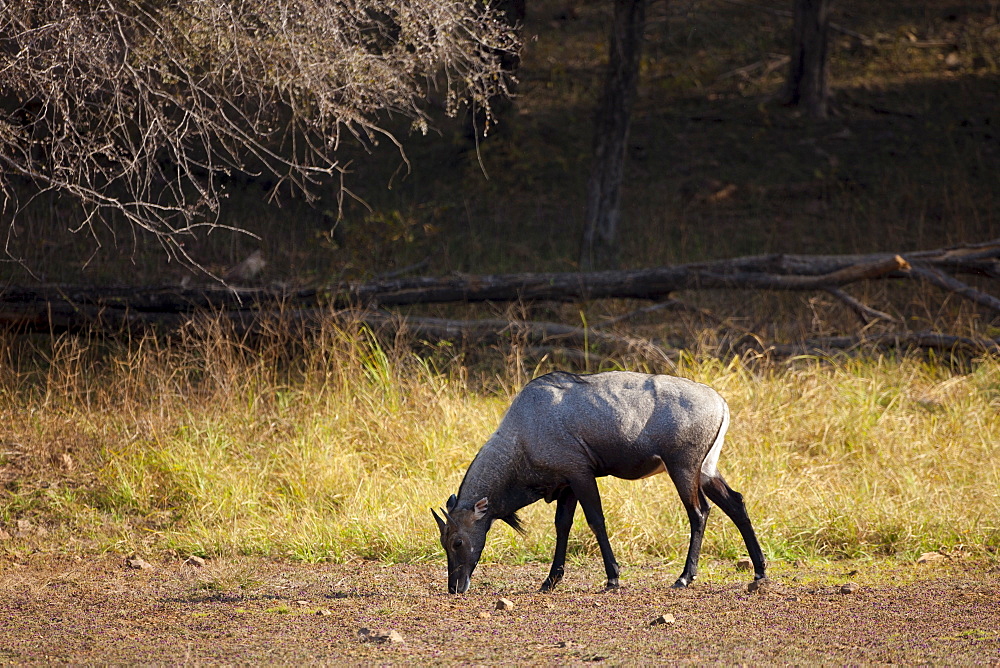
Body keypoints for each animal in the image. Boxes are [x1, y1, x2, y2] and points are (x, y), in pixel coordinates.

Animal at [430, 370, 764, 596]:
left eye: (457, 541)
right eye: (443, 542)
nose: (455, 586)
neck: (522, 434)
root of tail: (721, 403)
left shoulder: (580, 473)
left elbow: (596, 521)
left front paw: (613, 578)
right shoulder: (565, 484)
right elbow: (562, 526)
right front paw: (550, 581)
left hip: (682, 467)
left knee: (699, 512)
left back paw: (684, 577)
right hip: (706, 469)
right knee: (736, 502)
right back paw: (759, 573)